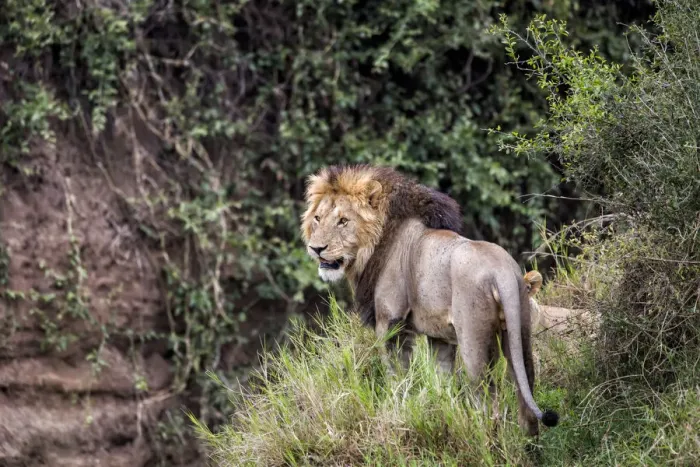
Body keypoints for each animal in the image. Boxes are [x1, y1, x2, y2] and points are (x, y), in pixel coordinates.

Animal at [301, 164, 559, 436]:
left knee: (488, 403)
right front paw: (443, 412)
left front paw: (398, 413)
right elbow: (442, 381)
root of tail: (502, 270)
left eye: (343, 221)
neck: (376, 244)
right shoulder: (440, 338)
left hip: (473, 341)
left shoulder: (391, 324)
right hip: (520, 331)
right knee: (526, 392)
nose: (316, 248)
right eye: (317, 218)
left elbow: (397, 377)